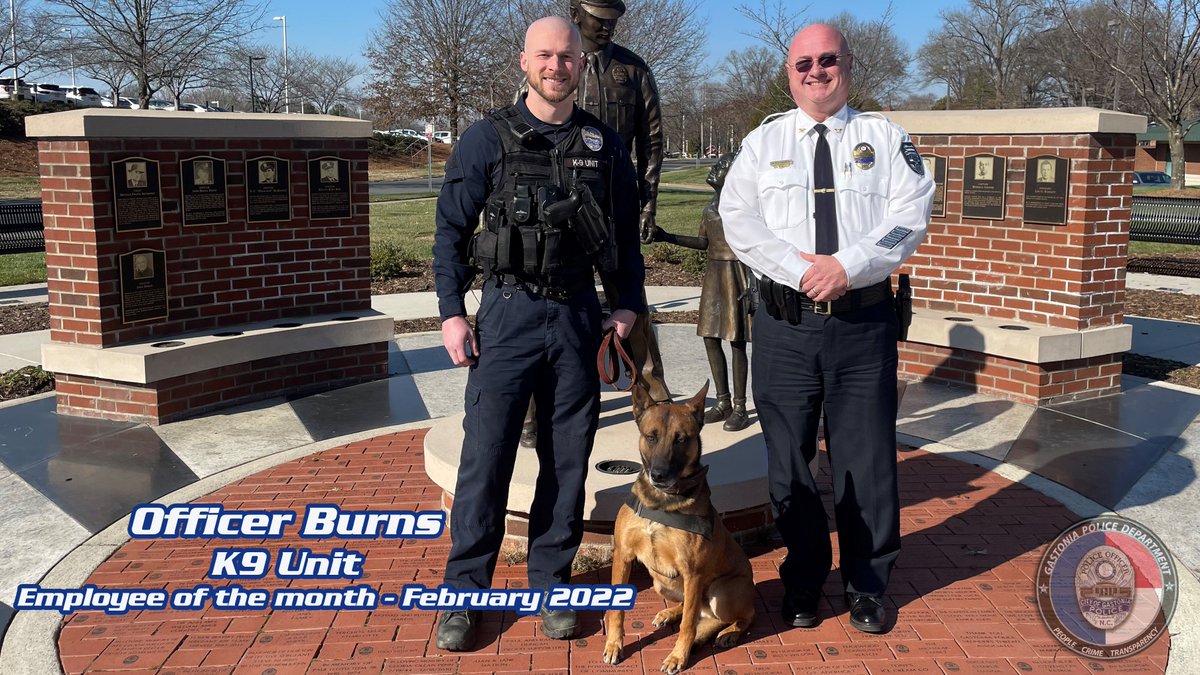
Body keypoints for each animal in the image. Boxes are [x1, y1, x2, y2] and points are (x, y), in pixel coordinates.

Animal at [604, 381, 753, 667]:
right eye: (651, 437)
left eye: (681, 439)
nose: (659, 475)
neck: (661, 503)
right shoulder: (623, 556)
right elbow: (616, 610)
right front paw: (614, 645)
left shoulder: (692, 573)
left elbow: (688, 625)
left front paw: (677, 656)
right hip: (660, 582)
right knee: (695, 612)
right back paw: (669, 614)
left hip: (721, 591)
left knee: (740, 615)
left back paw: (730, 633)